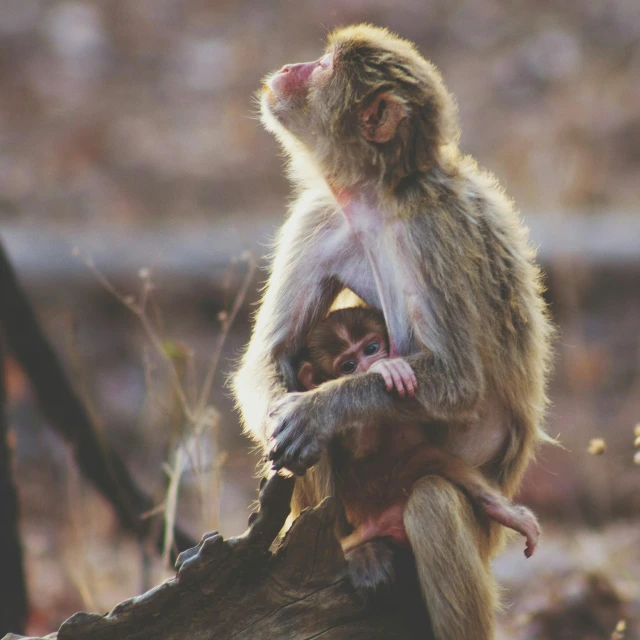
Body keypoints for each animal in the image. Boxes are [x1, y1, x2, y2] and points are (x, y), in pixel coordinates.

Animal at [232, 23, 552, 640]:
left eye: (325, 67)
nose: (291, 68)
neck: (379, 194)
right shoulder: (319, 215)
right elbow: (271, 358)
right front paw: (298, 409)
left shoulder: (433, 229)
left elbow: (460, 381)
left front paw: (320, 410)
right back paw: (355, 548)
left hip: (479, 531)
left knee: (432, 505)